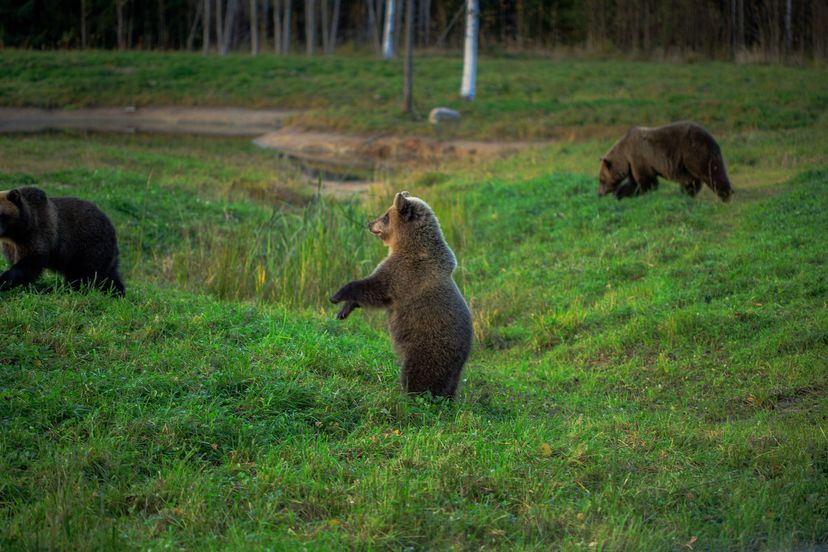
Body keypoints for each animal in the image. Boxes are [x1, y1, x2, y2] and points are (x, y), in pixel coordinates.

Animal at [330, 191, 473, 399]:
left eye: (385, 216)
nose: (369, 223)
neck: (409, 245)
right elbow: (375, 295)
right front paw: (344, 310)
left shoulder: (404, 273)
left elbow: (376, 287)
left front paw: (337, 295)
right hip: (454, 372)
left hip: (426, 347)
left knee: (417, 373)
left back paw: (409, 394)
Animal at [598, 121, 733, 202]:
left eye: (601, 179)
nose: (599, 193)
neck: (624, 155)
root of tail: (712, 139)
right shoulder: (632, 164)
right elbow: (633, 183)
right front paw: (619, 194)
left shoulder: (639, 158)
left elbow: (647, 182)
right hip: (686, 162)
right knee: (693, 181)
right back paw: (686, 194)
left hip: (695, 152)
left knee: (713, 174)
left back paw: (726, 196)